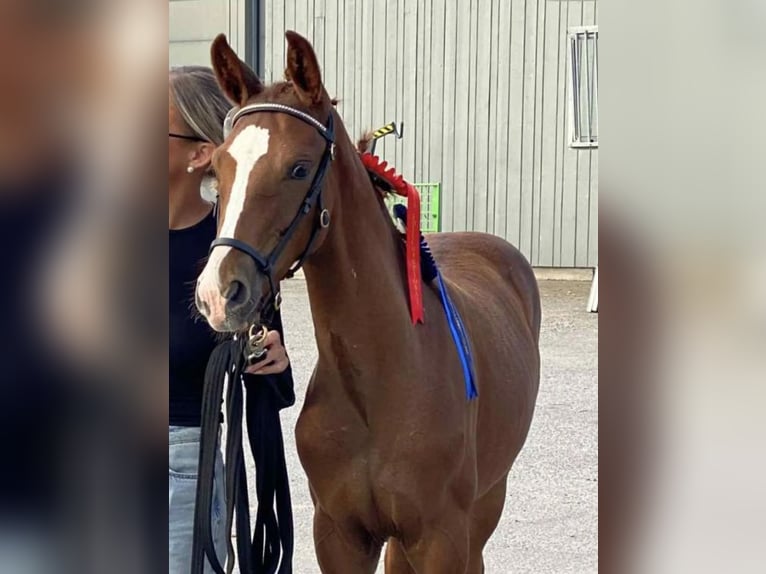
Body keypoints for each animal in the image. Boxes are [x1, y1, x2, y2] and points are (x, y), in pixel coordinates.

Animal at [196, 30, 541, 574]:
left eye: (297, 168)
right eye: (217, 168)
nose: (218, 293)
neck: (384, 380)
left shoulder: (442, 537)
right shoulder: (339, 534)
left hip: (486, 504)